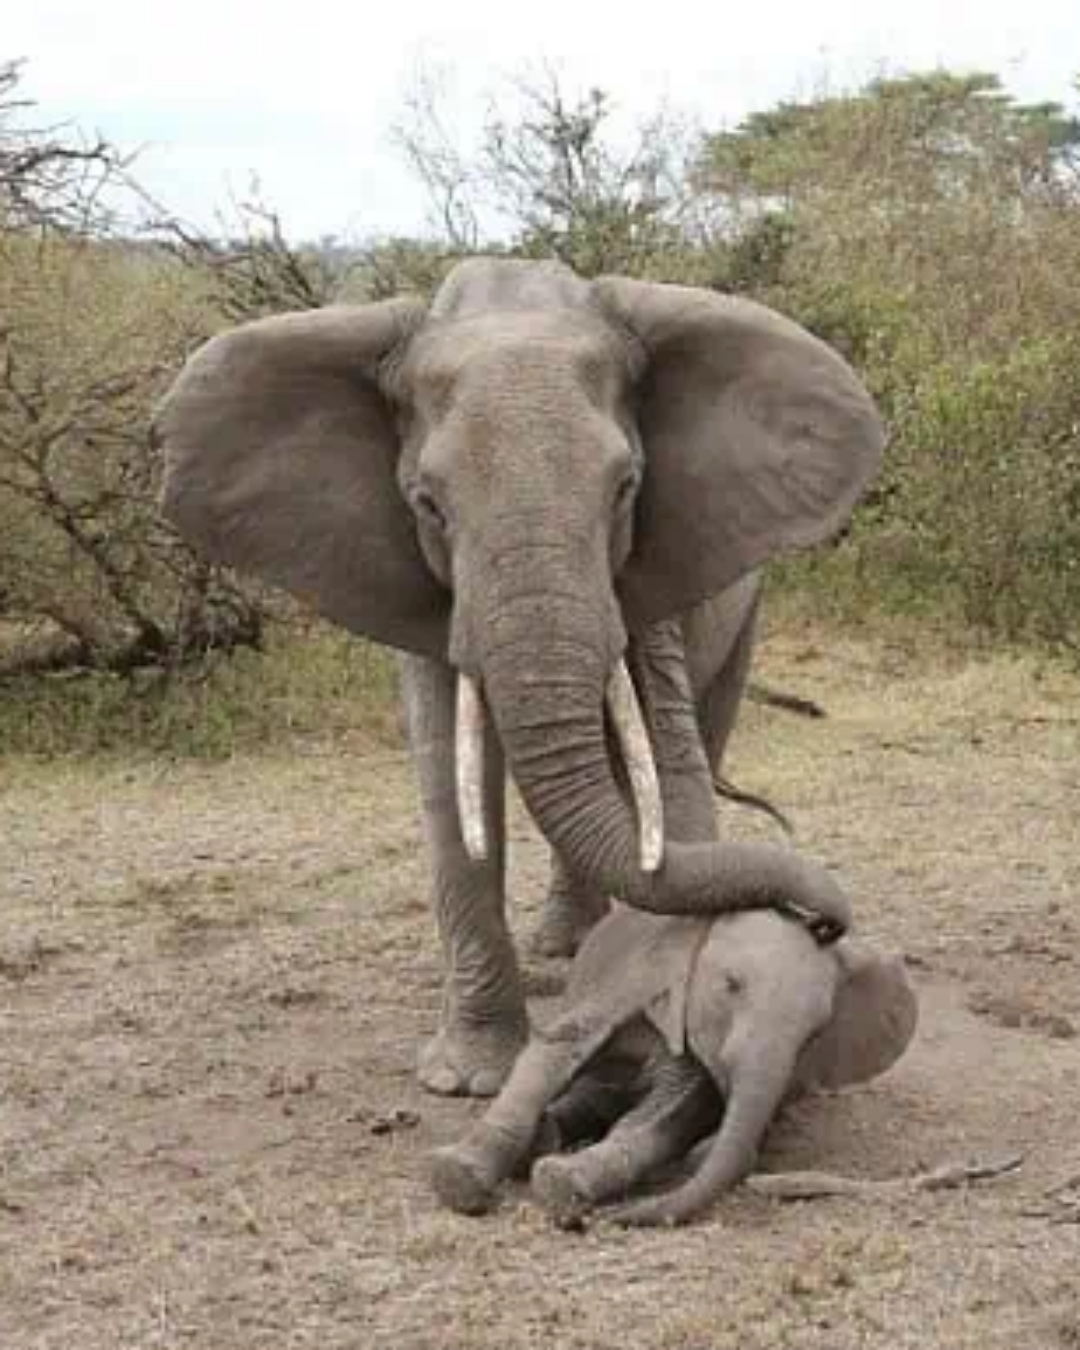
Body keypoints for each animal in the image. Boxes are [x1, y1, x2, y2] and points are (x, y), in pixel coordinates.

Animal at [154, 257, 884, 1096]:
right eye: (429, 505)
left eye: (626, 489)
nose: (824, 922)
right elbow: (449, 775)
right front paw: (468, 1079)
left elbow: (670, 766)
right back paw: (560, 957)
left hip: (749, 601)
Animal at [430, 901, 918, 1227]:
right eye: (731, 985)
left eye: (815, 1030)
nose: (615, 1219)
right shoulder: (638, 976)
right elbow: (556, 1048)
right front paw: (458, 1179)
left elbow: (674, 1112)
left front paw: (562, 1185)